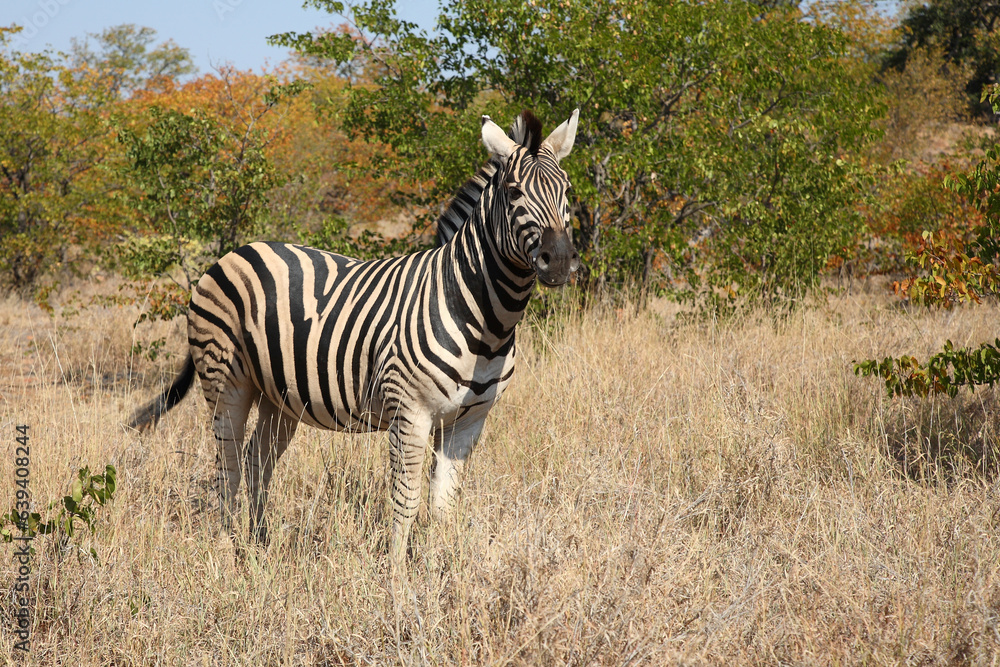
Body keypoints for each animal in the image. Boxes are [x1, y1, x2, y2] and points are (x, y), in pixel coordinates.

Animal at [128, 109, 581, 563]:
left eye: (567, 190)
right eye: (514, 192)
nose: (559, 261)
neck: (483, 318)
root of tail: (231, 254)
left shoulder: (468, 423)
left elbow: (442, 506)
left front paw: (437, 570)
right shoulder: (409, 413)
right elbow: (405, 502)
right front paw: (397, 576)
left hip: (279, 395)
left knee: (257, 461)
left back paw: (260, 547)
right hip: (226, 380)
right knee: (227, 467)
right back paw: (227, 550)